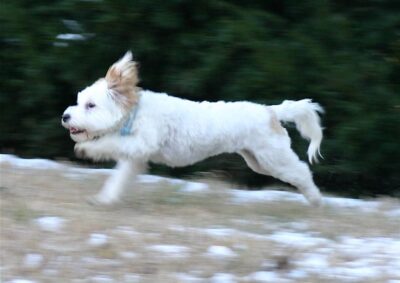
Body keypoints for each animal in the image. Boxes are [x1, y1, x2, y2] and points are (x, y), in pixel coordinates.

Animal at [62, 51, 324, 206]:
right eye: (78, 100)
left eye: (90, 105)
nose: (65, 117)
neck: (135, 113)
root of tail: (270, 111)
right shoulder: (134, 157)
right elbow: (118, 179)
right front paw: (105, 199)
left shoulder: (141, 143)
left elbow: (109, 143)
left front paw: (87, 149)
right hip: (257, 160)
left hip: (273, 157)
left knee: (301, 171)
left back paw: (315, 199)